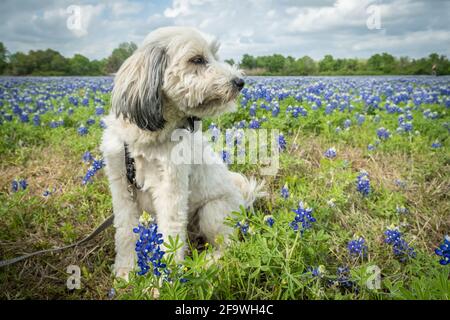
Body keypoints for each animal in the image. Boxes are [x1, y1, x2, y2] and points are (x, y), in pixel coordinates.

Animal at [101, 26, 264, 278]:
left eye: (215, 55)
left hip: (212, 211)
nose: (240, 81)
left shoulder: (171, 188)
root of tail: (244, 203)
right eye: (197, 59)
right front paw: (125, 272)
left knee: (229, 249)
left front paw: (164, 282)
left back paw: (205, 264)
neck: (147, 137)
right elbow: (125, 231)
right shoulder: (121, 186)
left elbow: (170, 236)